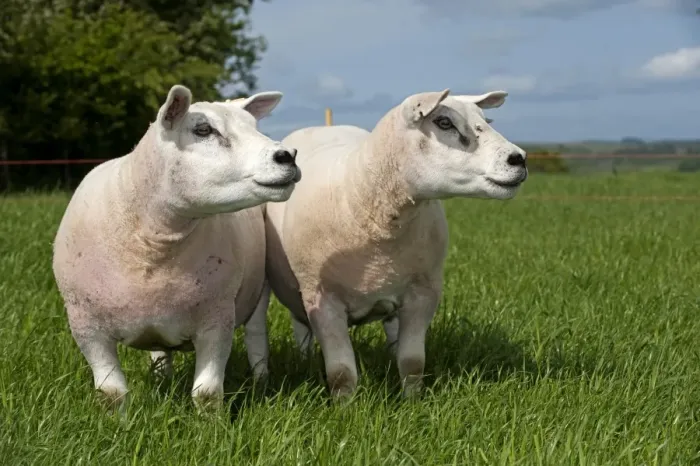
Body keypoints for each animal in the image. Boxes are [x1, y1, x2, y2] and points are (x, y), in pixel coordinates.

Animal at [52, 84, 301, 409]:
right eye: (203, 130)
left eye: (254, 127)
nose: (288, 156)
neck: (155, 245)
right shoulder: (86, 327)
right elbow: (112, 394)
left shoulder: (217, 319)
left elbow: (207, 394)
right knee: (160, 352)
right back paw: (162, 379)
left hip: (258, 291)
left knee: (257, 337)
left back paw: (261, 381)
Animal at [264, 88, 527, 398]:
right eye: (444, 122)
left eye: (486, 120)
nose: (519, 159)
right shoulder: (322, 299)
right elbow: (341, 373)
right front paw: (345, 406)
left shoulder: (422, 293)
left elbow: (412, 362)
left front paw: (413, 400)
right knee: (301, 329)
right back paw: (303, 360)